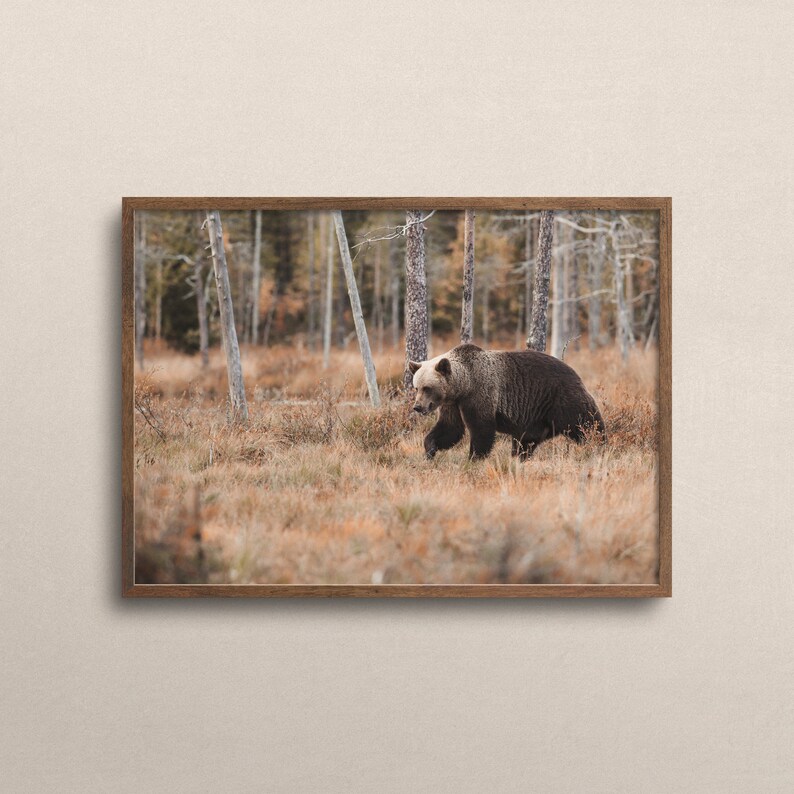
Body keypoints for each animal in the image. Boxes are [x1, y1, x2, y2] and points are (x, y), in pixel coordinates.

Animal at [408, 343, 606, 461]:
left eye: (427, 388)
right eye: (416, 387)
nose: (417, 407)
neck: (464, 385)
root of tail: (575, 372)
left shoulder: (480, 394)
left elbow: (482, 429)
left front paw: (474, 458)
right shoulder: (453, 404)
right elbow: (450, 428)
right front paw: (430, 450)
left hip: (561, 399)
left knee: (587, 423)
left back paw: (599, 444)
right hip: (535, 418)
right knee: (525, 441)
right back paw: (519, 457)